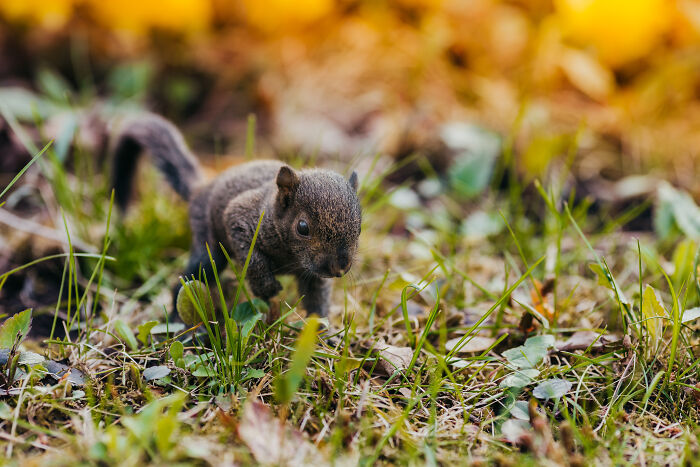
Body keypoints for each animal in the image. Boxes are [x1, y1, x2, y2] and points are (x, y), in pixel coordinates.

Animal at [110, 114, 360, 318]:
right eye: (303, 227)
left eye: (359, 229)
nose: (339, 268)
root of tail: (200, 190)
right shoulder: (240, 216)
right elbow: (253, 258)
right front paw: (266, 287)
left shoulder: (313, 274)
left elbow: (317, 299)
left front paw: (323, 334)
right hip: (208, 247)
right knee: (187, 282)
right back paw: (179, 322)